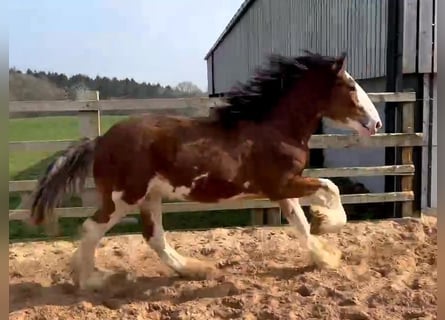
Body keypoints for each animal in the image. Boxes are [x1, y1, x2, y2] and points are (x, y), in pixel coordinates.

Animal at [28, 51, 382, 292]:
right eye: (351, 86)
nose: (376, 124)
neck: (274, 129)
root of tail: (100, 140)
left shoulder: (282, 189)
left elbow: (300, 225)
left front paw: (324, 258)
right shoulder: (282, 184)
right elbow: (330, 189)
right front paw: (326, 224)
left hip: (149, 197)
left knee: (154, 237)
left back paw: (194, 270)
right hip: (123, 197)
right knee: (91, 229)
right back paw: (93, 280)